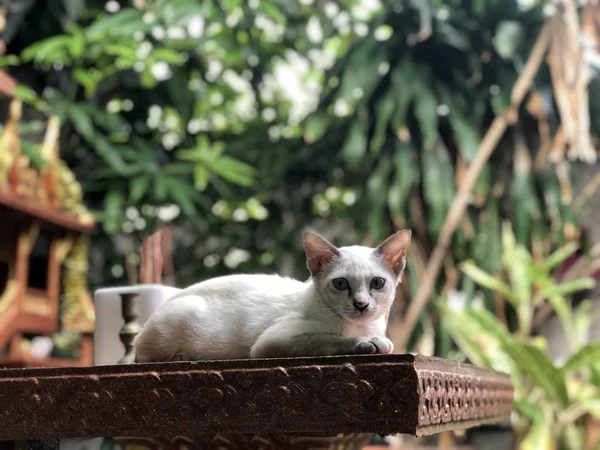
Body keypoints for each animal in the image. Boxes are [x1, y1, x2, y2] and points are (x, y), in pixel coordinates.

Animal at [133, 229, 410, 362]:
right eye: (341, 284)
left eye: (377, 283)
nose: (361, 304)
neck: (363, 327)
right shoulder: (272, 342)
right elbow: (327, 340)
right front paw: (369, 344)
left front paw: (377, 342)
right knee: (143, 356)